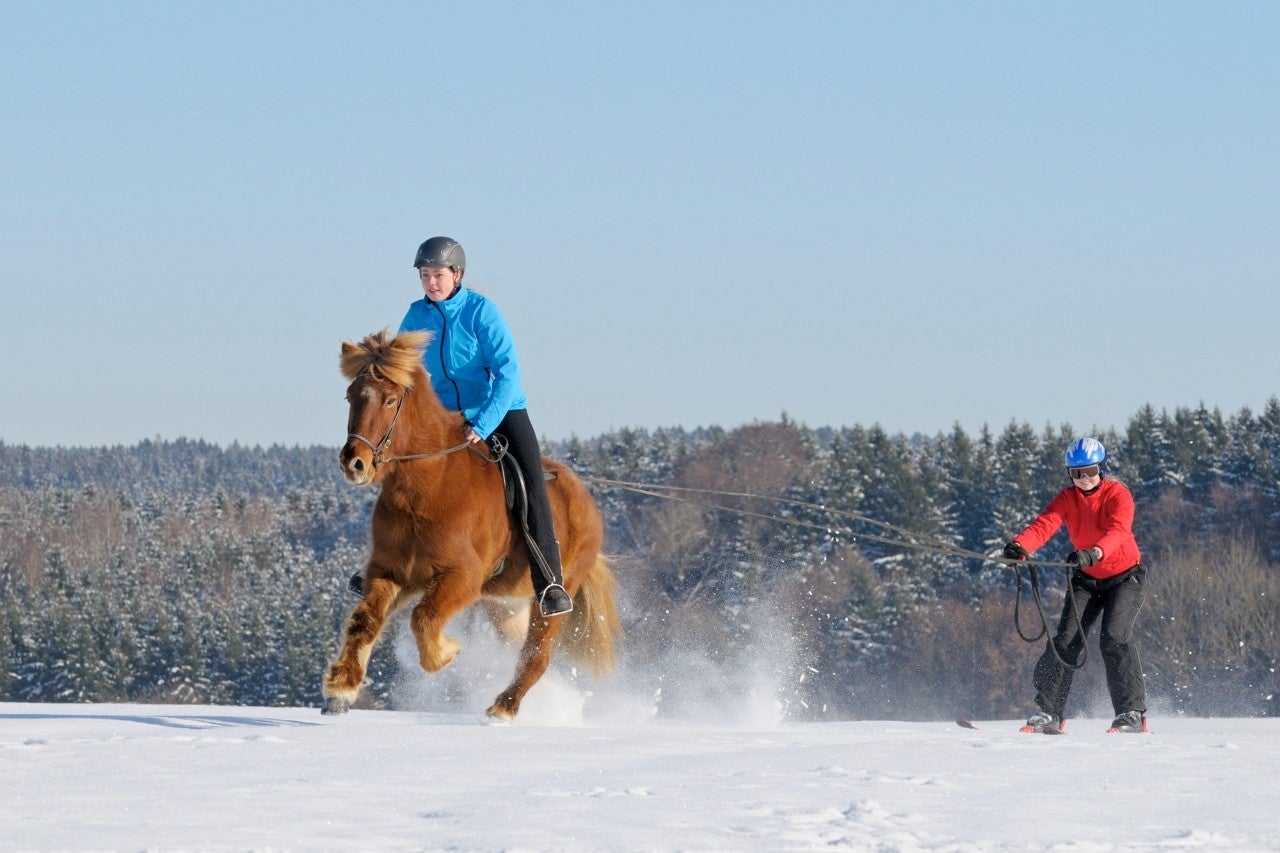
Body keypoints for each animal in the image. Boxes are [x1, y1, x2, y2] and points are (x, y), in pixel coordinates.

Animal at [320, 326, 619, 717]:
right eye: (351, 396)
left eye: (389, 400)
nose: (354, 463)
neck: (427, 488)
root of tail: (588, 503)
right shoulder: (392, 571)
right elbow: (365, 620)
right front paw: (341, 689)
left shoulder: (463, 576)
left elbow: (425, 617)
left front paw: (448, 652)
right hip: (505, 604)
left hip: (553, 595)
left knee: (536, 655)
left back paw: (503, 709)